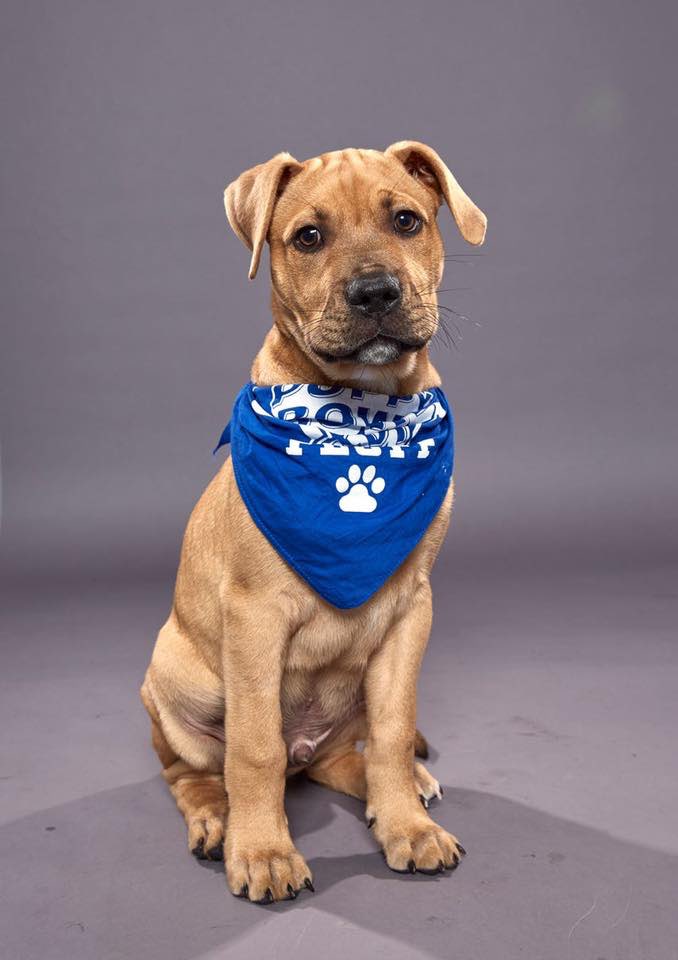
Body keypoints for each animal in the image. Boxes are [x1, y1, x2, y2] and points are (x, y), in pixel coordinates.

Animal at [141, 141, 486, 903]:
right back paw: (216, 820)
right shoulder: (254, 618)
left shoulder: (411, 610)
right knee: (197, 768)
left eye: (407, 220)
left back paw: (404, 790)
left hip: (348, 697)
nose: (376, 293)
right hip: (175, 678)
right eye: (308, 237)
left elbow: (392, 730)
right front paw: (264, 852)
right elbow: (254, 748)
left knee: (341, 756)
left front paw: (406, 826)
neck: (363, 417)